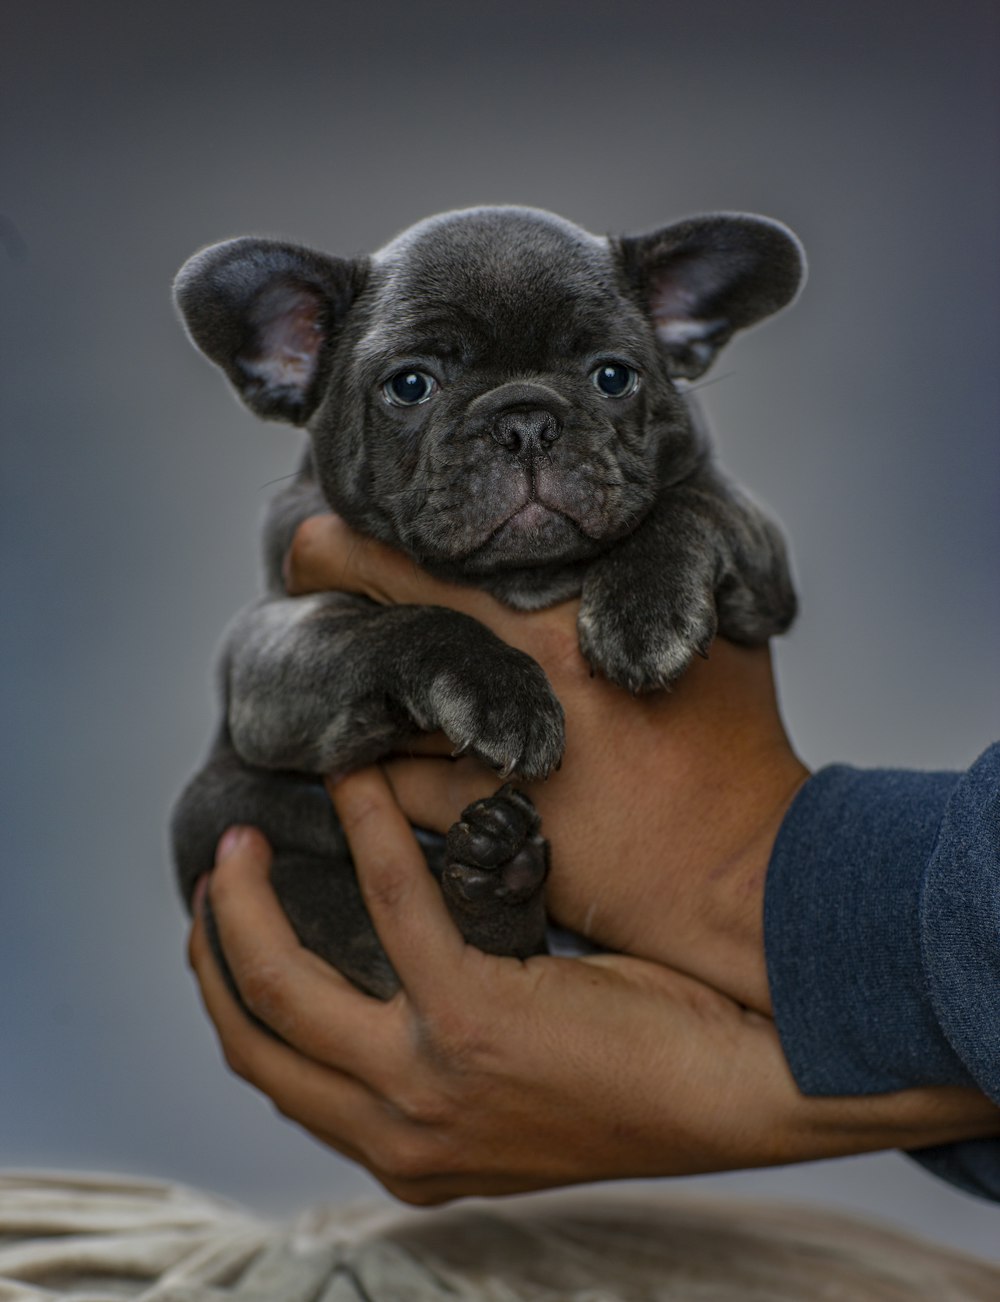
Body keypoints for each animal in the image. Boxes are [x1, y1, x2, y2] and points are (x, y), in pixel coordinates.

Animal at [167, 205, 802, 994]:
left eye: (613, 376)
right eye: (411, 385)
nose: (525, 421)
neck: (521, 582)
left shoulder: (759, 553)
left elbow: (691, 507)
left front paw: (644, 609)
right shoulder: (271, 652)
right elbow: (395, 624)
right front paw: (499, 689)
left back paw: (499, 881)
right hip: (229, 824)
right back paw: (494, 879)